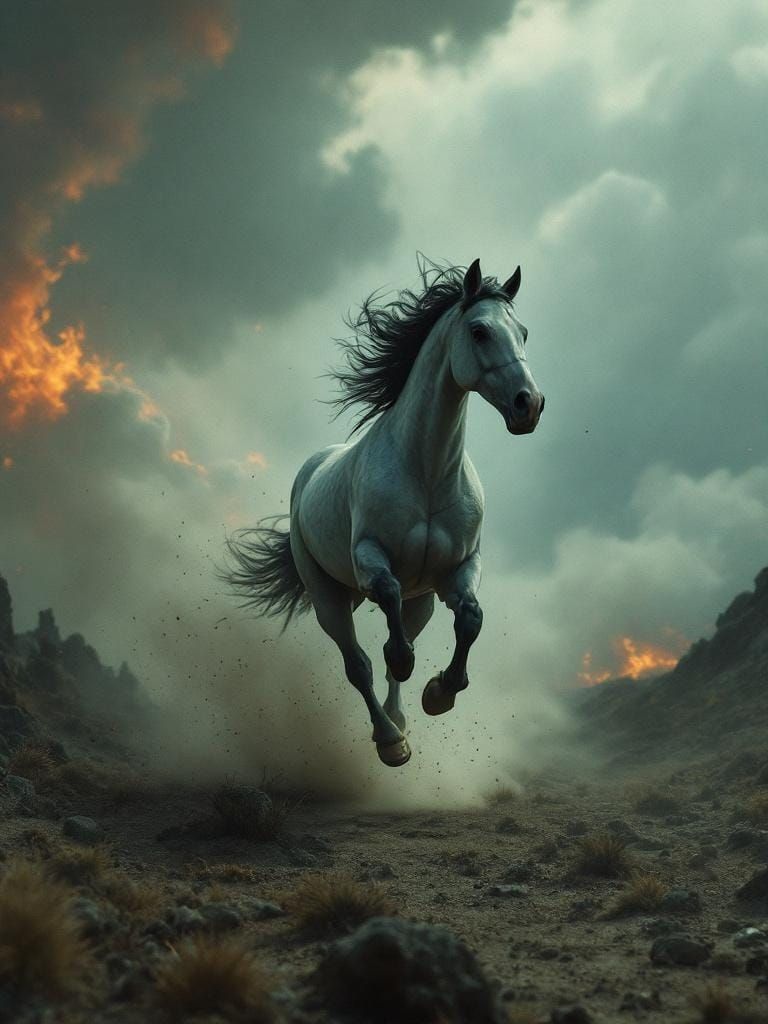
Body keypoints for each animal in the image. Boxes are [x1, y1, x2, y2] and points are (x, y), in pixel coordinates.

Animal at [226, 258, 545, 767]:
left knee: (398, 651)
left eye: (524, 332)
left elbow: (470, 617)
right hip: (329, 598)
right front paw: (405, 661)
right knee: (358, 665)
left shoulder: (459, 567)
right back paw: (390, 740)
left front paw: (440, 692)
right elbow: (389, 601)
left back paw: (402, 721)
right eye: (479, 331)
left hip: (421, 601)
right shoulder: (369, 558)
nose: (528, 405)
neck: (427, 474)